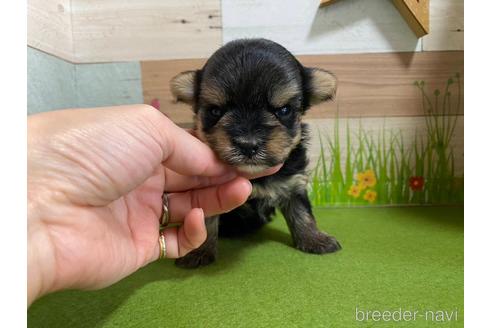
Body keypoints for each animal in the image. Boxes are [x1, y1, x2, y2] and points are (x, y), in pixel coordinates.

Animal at [171, 39, 340, 270]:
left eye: (284, 110)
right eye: (215, 111)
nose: (248, 145)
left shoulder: (293, 183)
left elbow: (303, 213)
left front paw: (315, 239)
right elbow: (204, 222)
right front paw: (199, 251)